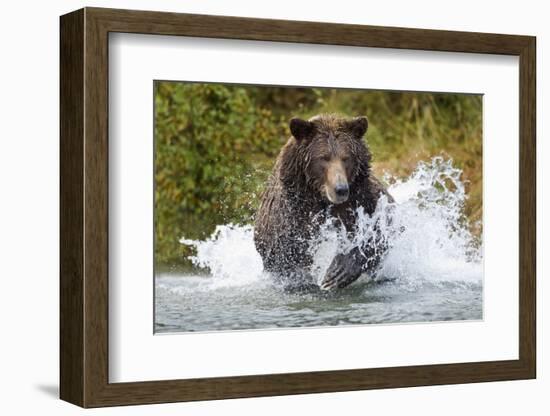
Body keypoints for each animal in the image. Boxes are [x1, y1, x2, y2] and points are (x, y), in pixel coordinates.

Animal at [256, 112, 394, 290]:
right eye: (323, 158)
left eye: (346, 158)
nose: (341, 189)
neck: (322, 199)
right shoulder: (291, 217)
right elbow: (290, 255)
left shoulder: (365, 200)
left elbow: (381, 231)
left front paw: (337, 271)